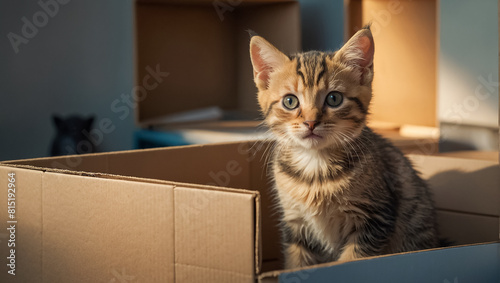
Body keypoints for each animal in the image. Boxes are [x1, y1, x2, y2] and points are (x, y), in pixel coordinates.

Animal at [250, 26, 438, 268]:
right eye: (290, 101)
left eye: (334, 98)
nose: (311, 122)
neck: (316, 167)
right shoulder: (295, 224)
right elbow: (296, 263)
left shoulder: (375, 219)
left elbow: (351, 260)